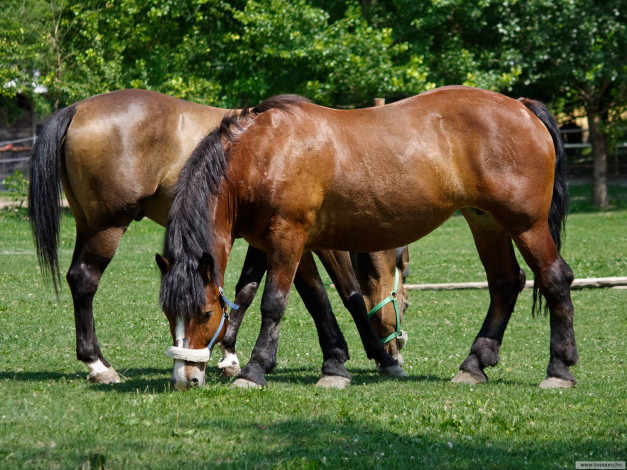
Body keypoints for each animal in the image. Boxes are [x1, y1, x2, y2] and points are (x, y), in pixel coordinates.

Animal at [28, 88, 402, 386]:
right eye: (405, 301)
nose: (398, 347)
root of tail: (78, 109)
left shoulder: (264, 239)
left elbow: (246, 290)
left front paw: (229, 353)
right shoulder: (317, 241)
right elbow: (350, 295)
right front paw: (380, 358)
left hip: (88, 224)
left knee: (76, 277)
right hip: (107, 226)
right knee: (84, 280)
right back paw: (98, 364)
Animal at [158, 84, 580, 390]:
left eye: (205, 312)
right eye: (167, 313)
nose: (185, 379)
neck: (264, 152)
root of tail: (522, 107)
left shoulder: (287, 238)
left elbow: (273, 303)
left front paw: (254, 369)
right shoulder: (287, 244)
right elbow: (312, 300)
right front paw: (334, 366)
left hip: (526, 225)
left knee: (554, 278)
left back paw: (558, 370)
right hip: (486, 222)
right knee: (505, 283)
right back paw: (474, 365)